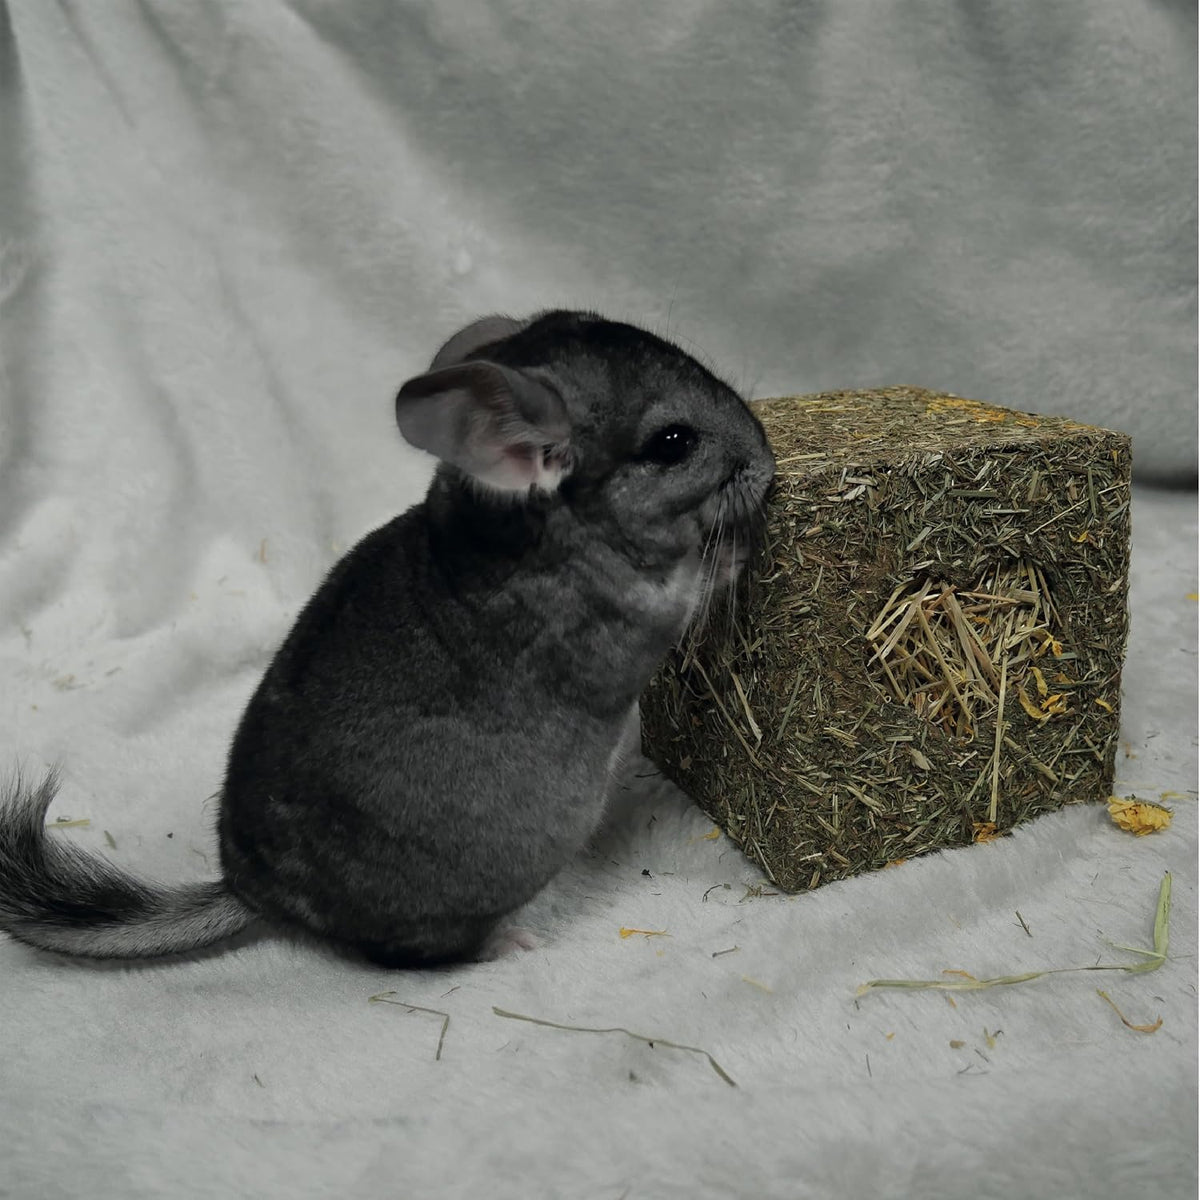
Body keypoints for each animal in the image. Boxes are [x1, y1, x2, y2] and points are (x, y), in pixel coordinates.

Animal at [0, 310, 775, 967]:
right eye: (673, 443)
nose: (768, 461)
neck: (543, 527)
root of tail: (255, 894)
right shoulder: (622, 627)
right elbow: (688, 588)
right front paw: (734, 551)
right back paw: (510, 944)